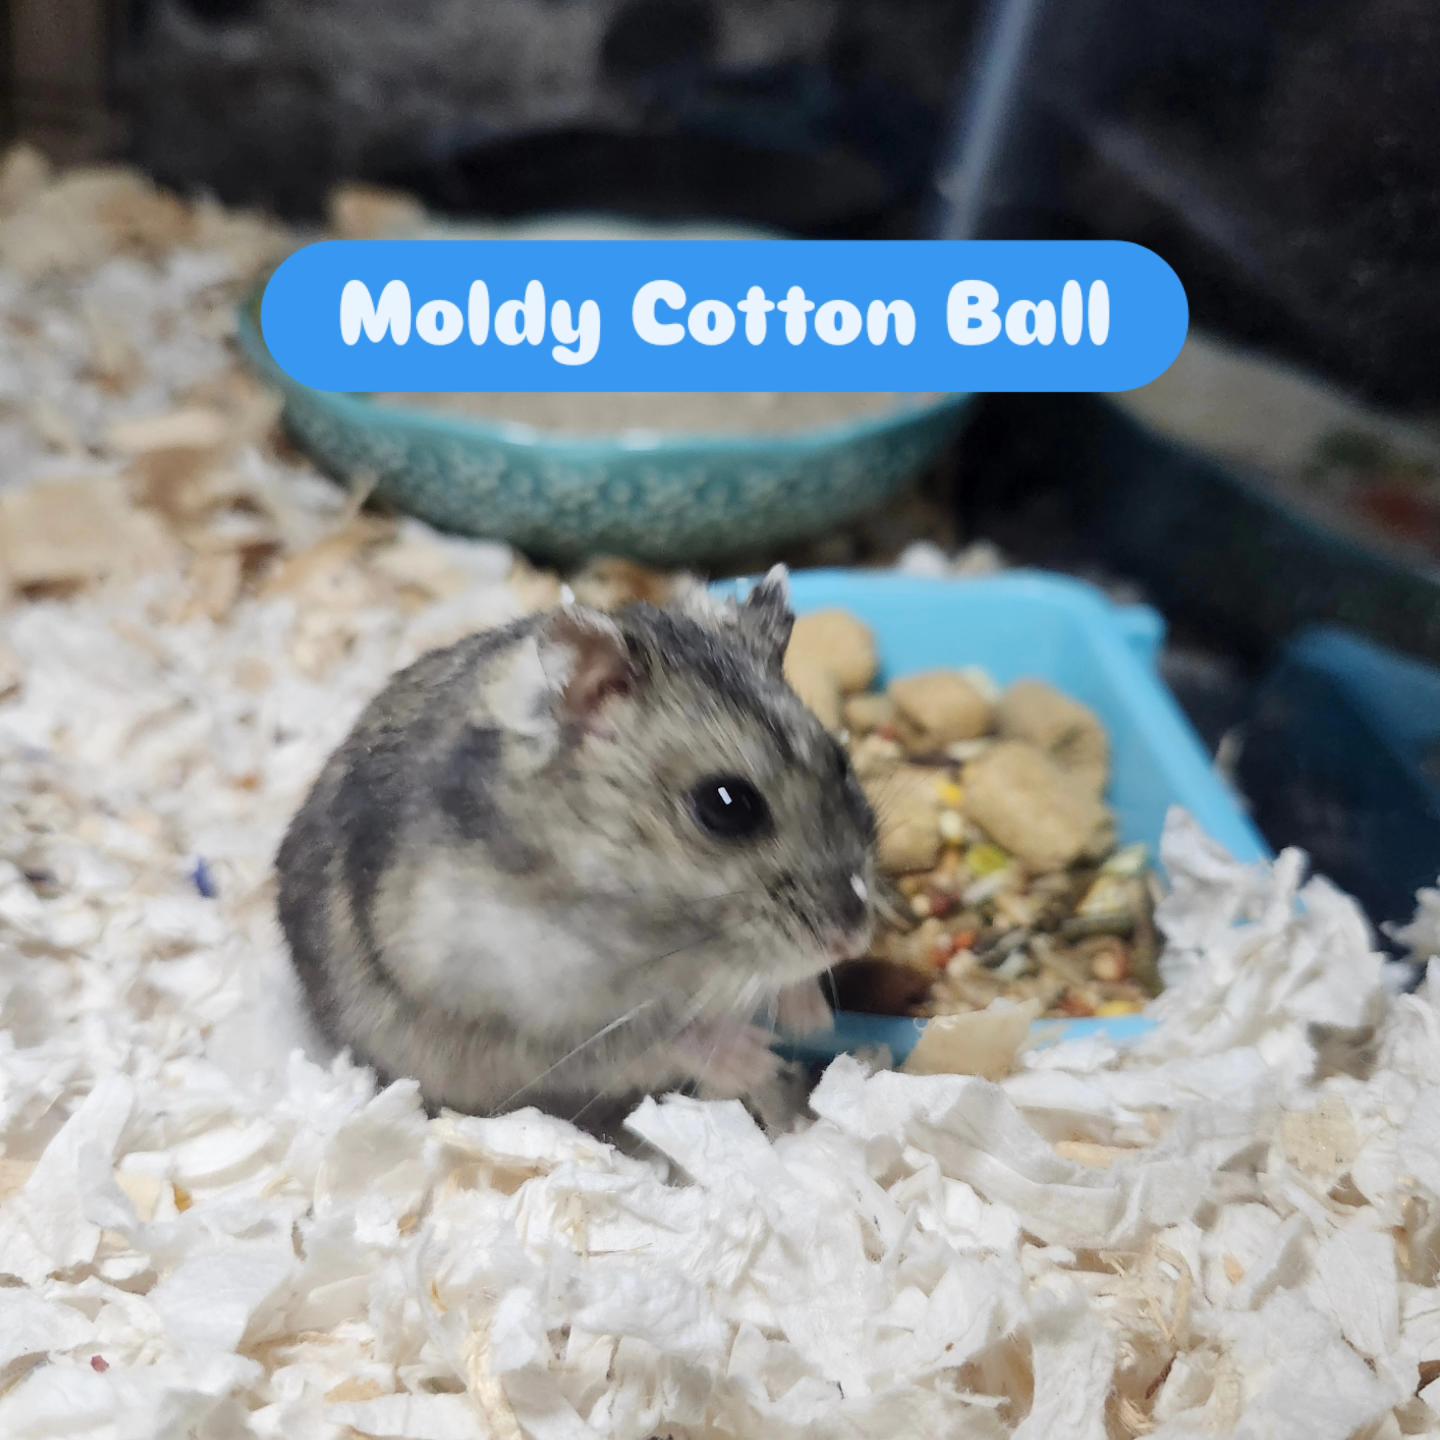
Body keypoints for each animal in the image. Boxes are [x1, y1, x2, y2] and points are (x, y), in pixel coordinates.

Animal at [275, 566, 876, 1136]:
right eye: (726, 805)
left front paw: (811, 1017)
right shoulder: (517, 1016)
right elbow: (650, 1039)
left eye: (841, 761)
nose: (852, 941)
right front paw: (756, 1054)